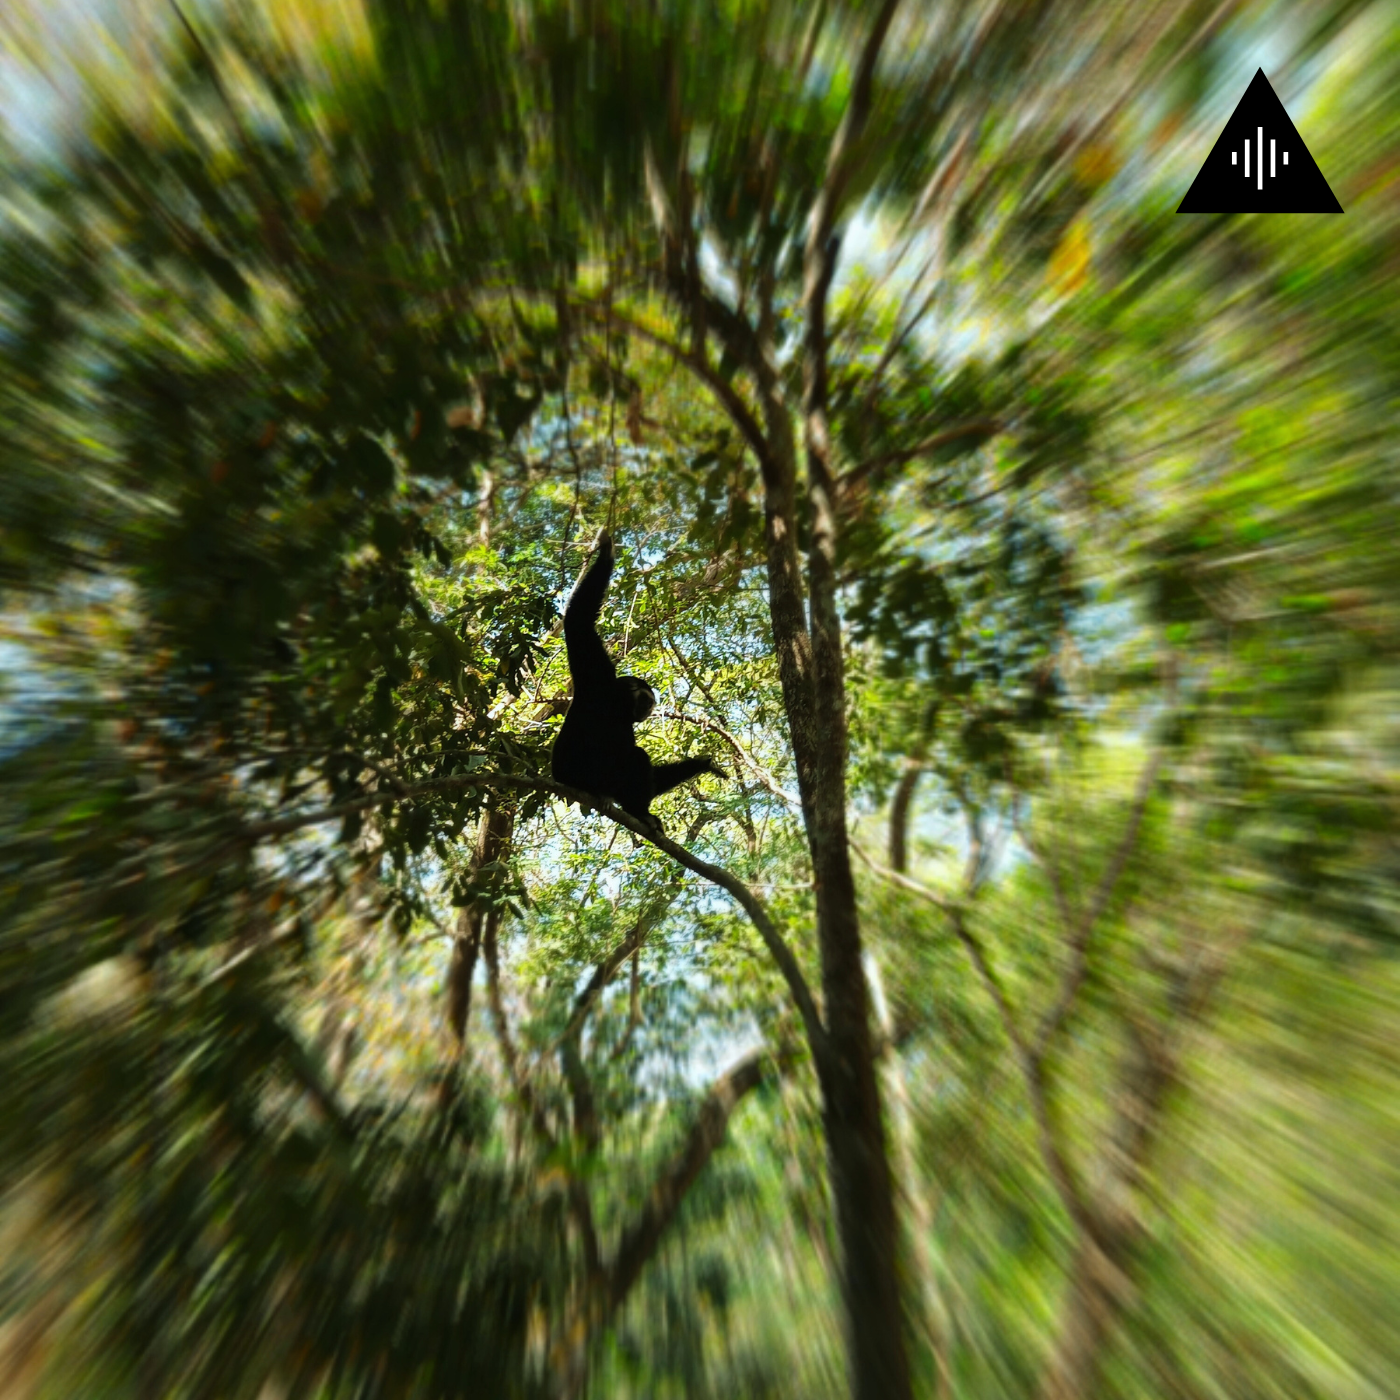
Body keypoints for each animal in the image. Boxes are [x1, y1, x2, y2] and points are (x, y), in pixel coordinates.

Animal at [550, 531, 722, 830]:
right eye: (647, 699)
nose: (649, 709)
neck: (615, 704)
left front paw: (703, 764)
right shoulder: (596, 675)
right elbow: (578, 621)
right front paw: (606, 551)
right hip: (584, 776)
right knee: (635, 757)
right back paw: (637, 810)